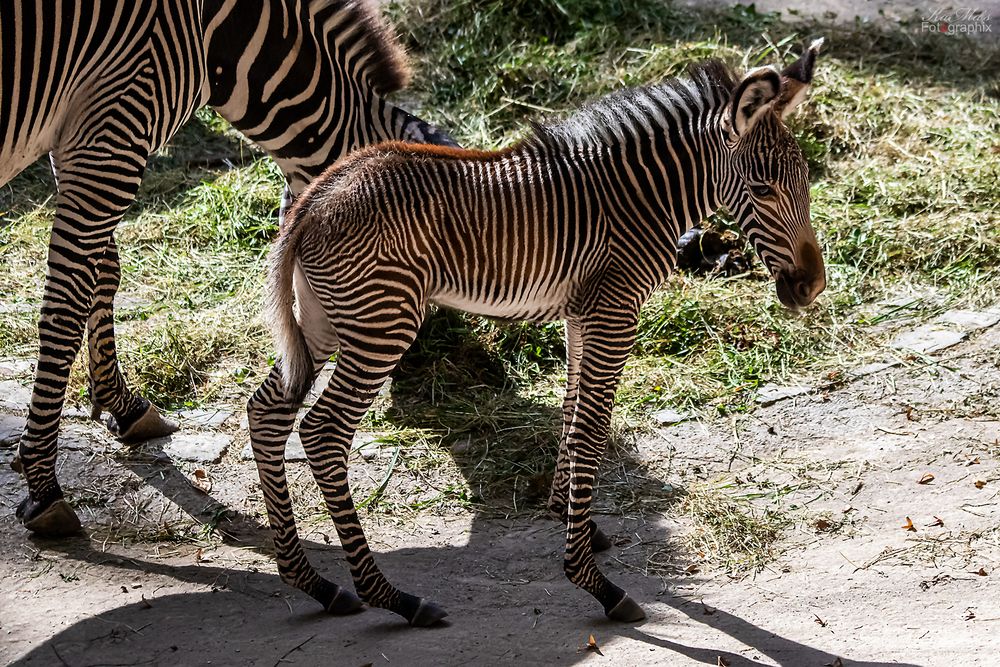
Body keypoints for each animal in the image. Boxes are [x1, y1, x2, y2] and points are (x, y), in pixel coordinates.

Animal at [1, 0, 456, 536]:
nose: (432, 342)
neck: (219, 32)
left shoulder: (82, 136)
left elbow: (104, 269)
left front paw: (121, 404)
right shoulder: (116, 128)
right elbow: (68, 301)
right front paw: (42, 482)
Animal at [252, 41, 828, 628]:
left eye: (805, 182)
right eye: (762, 189)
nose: (812, 286)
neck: (639, 198)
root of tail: (314, 199)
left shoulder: (582, 313)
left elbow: (573, 414)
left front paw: (574, 519)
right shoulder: (614, 312)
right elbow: (591, 429)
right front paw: (592, 581)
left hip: (324, 321)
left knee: (267, 410)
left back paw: (314, 583)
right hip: (382, 322)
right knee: (322, 430)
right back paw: (392, 597)